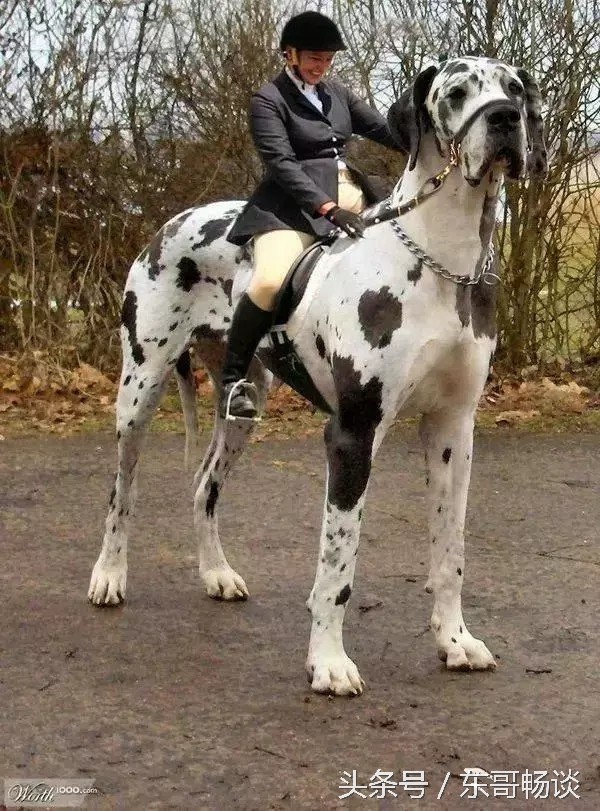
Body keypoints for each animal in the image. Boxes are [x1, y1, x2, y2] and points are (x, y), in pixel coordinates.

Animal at [88, 57, 546, 695]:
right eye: (457, 93)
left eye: (515, 89)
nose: (504, 120)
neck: (440, 261)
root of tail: (175, 218)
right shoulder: (352, 435)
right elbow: (338, 563)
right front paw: (328, 662)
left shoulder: (454, 431)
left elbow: (450, 550)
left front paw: (455, 641)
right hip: (139, 391)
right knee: (121, 490)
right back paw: (108, 576)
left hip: (243, 409)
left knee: (204, 485)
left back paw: (216, 573)